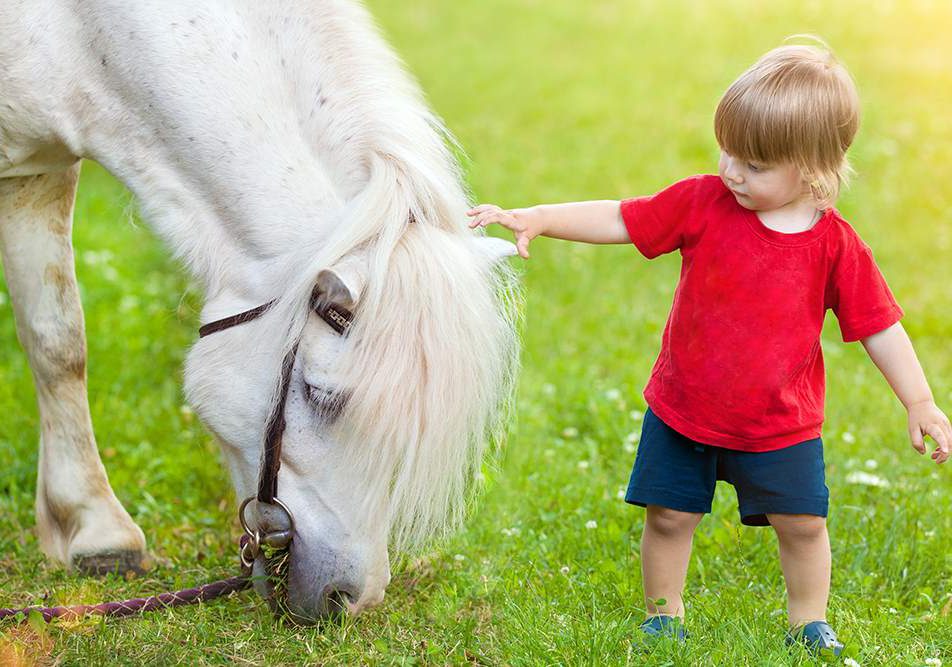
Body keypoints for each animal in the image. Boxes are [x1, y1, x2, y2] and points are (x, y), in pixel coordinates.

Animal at [0, 0, 519, 622]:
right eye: (320, 395)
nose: (352, 597)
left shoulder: (37, 174)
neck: (81, 32)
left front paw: (88, 525)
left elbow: (57, 341)